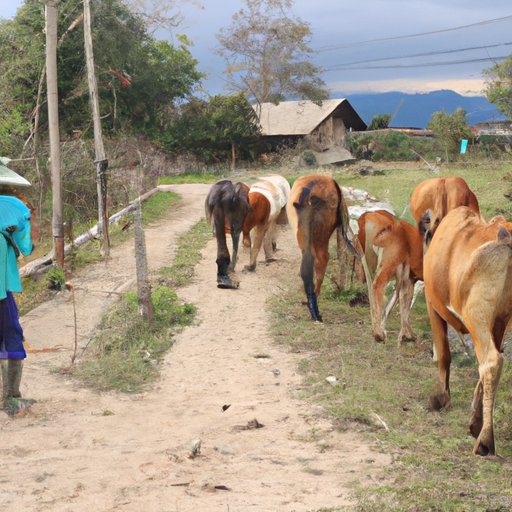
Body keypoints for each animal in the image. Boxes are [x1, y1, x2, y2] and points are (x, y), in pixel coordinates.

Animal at [356, 208, 424, 344]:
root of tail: (370, 215)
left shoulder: (405, 278)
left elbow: (396, 301)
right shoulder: (409, 278)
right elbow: (405, 302)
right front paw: (408, 335)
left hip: (366, 260)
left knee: (370, 288)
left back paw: (377, 330)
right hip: (387, 264)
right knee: (377, 286)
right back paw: (378, 334)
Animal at [422, 206, 512, 454]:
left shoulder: (432, 305)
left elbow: (444, 353)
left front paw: (440, 398)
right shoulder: (498, 323)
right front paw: (475, 418)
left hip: (476, 315)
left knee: (491, 361)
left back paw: (485, 441)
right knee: (491, 360)